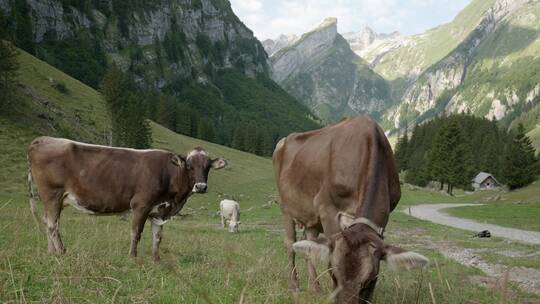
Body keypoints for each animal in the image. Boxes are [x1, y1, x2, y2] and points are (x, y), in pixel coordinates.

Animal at [26, 137, 228, 260]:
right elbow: (136, 233)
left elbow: (157, 236)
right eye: (189, 165)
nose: (201, 186)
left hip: (55, 199)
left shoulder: (160, 210)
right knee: (53, 225)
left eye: (208, 166)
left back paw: (51, 252)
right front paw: (133, 258)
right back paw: (61, 252)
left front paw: (156, 259)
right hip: (52, 193)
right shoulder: (141, 204)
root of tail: (43, 139)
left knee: (47, 221)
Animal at [272, 116, 428, 302]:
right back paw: (294, 285)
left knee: (309, 244)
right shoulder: (327, 208)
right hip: (285, 207)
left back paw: (314, 288)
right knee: (290, 244)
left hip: (311, 216)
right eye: (333, 275)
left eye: (370, 281)